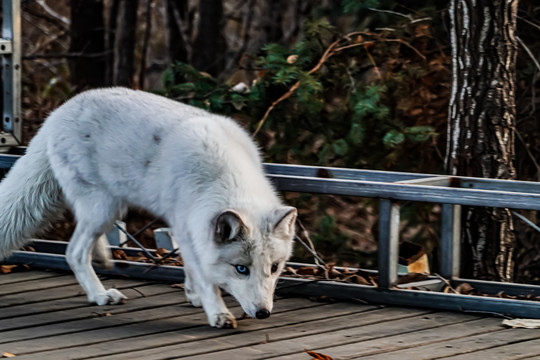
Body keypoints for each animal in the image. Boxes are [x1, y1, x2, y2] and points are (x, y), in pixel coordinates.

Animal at [0, 88, 296, 330]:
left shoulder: (185, 228)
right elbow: (205, 278)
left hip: (109, 208)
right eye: (241, 269)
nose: (263, 313)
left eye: (274, 268)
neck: (224, 176)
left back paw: (103, 258)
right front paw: (217, 313)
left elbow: (192, 270)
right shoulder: (187, 228)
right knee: (74, 252)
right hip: (103, 208)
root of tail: (55, 114)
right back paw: (99, 295)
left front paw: (193, 296)